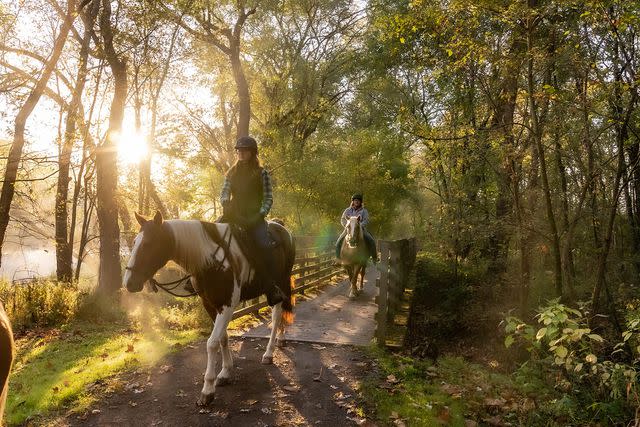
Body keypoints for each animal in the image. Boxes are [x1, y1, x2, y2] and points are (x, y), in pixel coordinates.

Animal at [122, 212, 296, 406]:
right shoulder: (210, 305)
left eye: (148, 243)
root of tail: (281, 227)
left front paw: (207, 389)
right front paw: (226, 372)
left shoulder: (227, 306)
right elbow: (223, 338)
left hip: (281, 282)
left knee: (276, 316)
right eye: (135, 241)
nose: (129, 283)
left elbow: (212, 343)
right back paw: (281, 340)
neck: (211, 261)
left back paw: (269, 352)